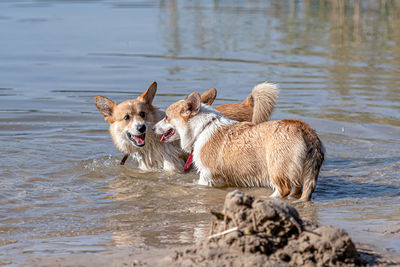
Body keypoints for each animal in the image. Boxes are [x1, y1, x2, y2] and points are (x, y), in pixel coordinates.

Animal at [153, 91, 324, 201]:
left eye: (166, 117)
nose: (153, 128)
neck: (202, 128)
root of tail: (304, 128)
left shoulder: (206, 176)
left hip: (277, 169)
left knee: (283, 190)